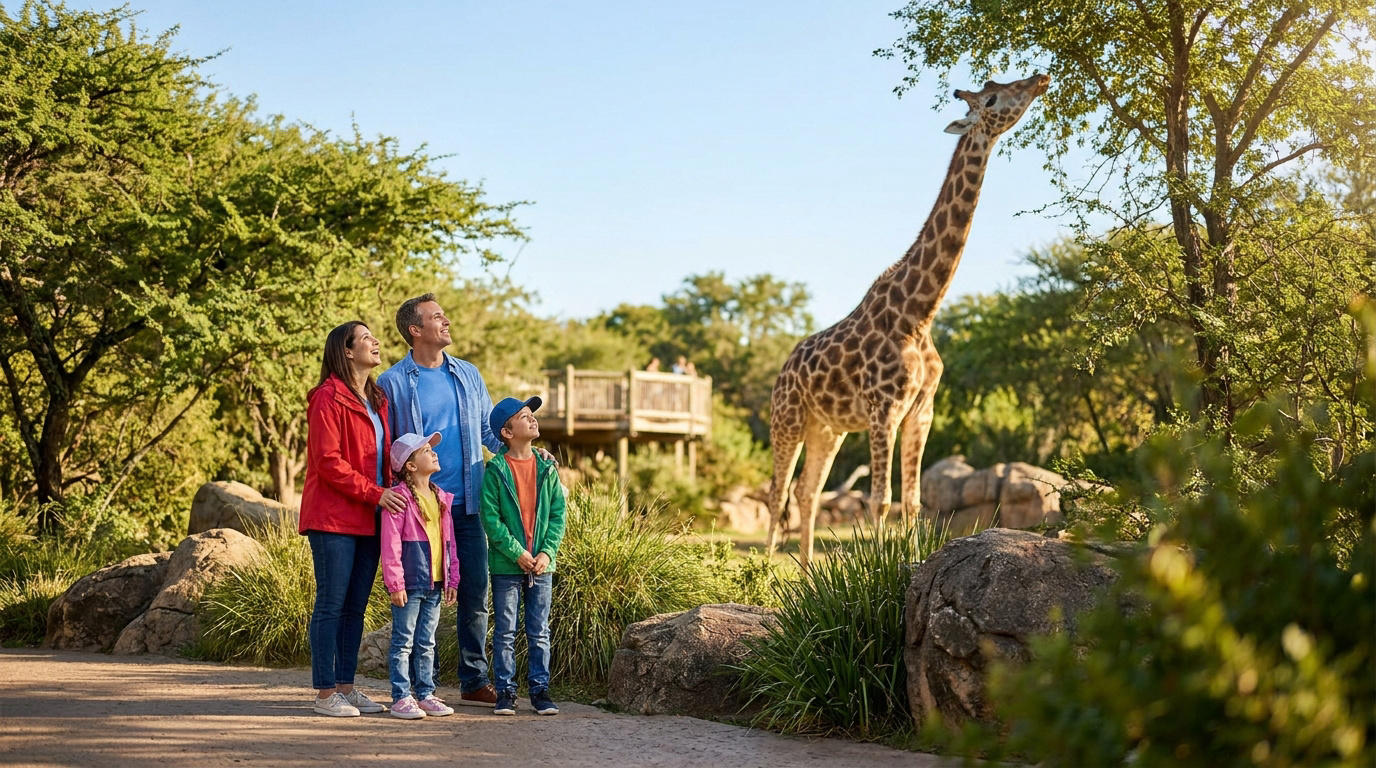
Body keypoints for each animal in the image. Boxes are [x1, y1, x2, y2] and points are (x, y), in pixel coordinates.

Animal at [765, 73, 1051, 569]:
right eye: (992, 96)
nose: (1039, 78)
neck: (919, 313)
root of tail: (783, 371)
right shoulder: (884, 410)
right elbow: (881, 500)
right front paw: (878, 570)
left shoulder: (922, 410)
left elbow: (914, 501)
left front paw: (911, 564)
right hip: (788, 421)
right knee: (778, 491)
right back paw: (763, 572)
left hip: (828, 429)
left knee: (807, 491)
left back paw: (804, 574)